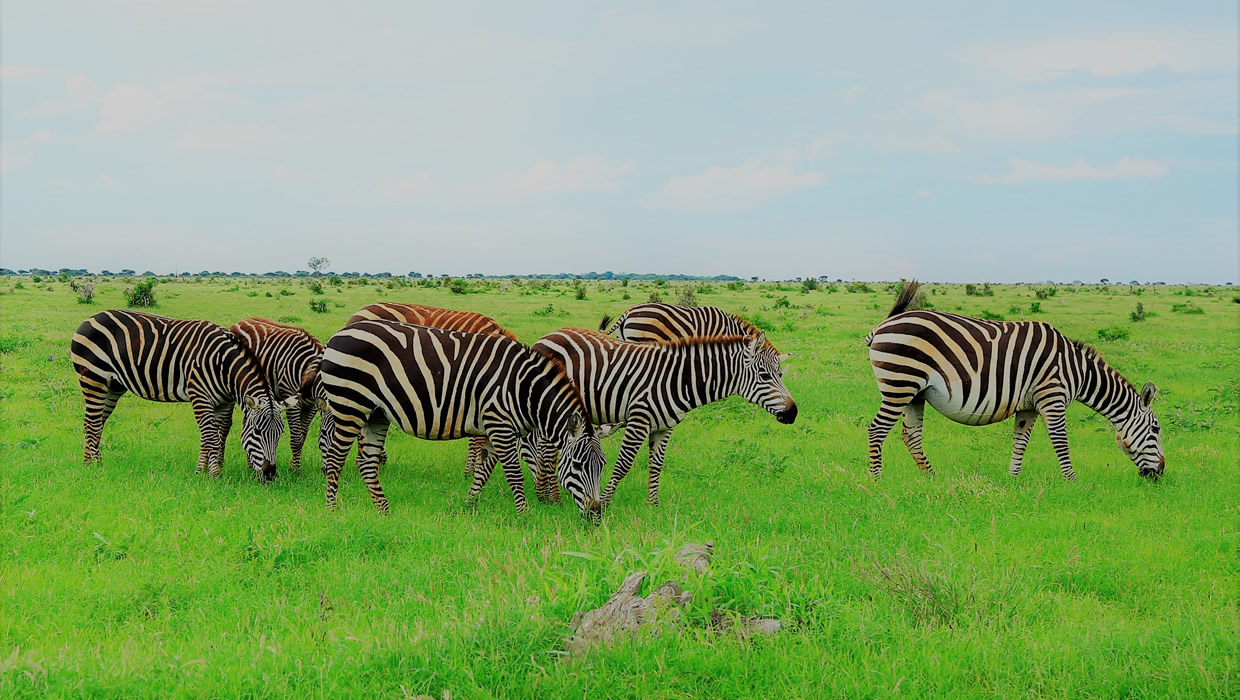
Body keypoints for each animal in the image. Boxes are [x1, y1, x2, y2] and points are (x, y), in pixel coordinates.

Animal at [71, 310, 292, 480]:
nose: (270, 474)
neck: (224, 367)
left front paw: (201, 470)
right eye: (257, 432)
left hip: (113, 385)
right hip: (94, 379)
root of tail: (92, 317)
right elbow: (211, 437)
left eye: (280, 433)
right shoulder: (200, 396)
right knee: (91, 422)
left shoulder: (222, 402)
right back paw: (91, 466)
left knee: (97, 422)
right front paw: (215, 476)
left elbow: (215, 434)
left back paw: (95, 462)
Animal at [228, 317, 324, 473]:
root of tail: (242, 321)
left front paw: (294, 466)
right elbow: (296, 438)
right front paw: (295, 471)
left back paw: (250, 467)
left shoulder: (312, 406)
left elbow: (303, 436)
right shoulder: (292, 400)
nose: (325, 472)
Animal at [314, 319, 605, 515]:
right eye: (578, 466)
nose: (596, 514)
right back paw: (332, 509)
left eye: (601, 466)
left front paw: (469, 505)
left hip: (376, 413)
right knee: (336, 458)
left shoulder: (494, 429)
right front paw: (524, 515)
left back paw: (384, 511)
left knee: (367, 462)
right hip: (350, 404)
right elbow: (514, 474)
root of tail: (337, 335)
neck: (524, 390)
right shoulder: (500, 424)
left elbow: (483, 472)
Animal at [523, 324, 793, 505]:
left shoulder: (664, 426)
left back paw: (545, 493)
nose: (793, 413)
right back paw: (549, 497)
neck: (680, 380)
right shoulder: (638, 420)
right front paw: (607, 502)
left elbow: (657, 464)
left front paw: (652, 505)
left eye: (781, 375)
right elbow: (623, 464)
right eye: (765, 376)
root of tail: (548, 335)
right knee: (546, 447)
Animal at [868, 281, 1165, 478]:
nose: (1161, 473)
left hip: (916, 392)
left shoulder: (1028, 406)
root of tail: (883, 325)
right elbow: (1061, 442)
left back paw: (932, 479)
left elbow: (1020, 442)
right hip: (899, 384)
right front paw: (1072, 482)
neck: (1078, 371)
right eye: (1156, 429)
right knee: (877, 429)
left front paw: (1013, 480)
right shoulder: (1052, 398)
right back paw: (876, 480)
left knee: (911, 435)